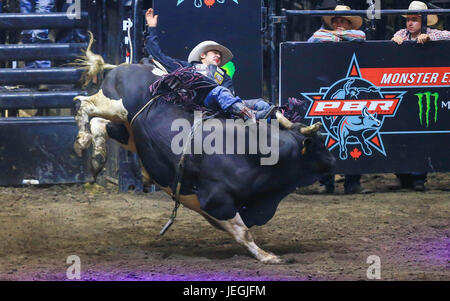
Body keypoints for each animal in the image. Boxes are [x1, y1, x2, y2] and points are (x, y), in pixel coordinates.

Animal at [73, 34, 334, 262]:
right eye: (318, 145)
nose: (333, 160)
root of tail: (126, 65)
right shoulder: (216, 200)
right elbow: (243, 232)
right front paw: (268, 257)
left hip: (127, 130)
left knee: (101, 125)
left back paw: (97, 158)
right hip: (113, 104)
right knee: (85, 105)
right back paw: (82, 142)